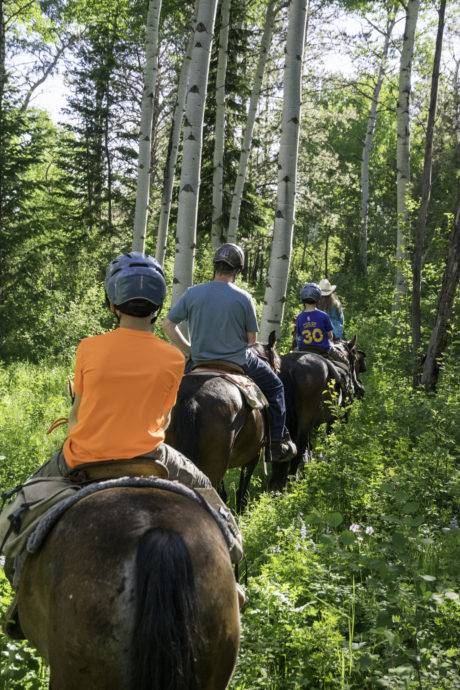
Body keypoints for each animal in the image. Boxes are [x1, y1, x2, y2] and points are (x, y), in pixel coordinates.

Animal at [270, 338, 366, 490]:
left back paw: (276, 484)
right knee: (299, 447)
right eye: (356, 360)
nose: (360, 389)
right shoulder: (337, 418)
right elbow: (329, 439)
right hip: (306, 421)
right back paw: (291, 480)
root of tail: (290, 369)